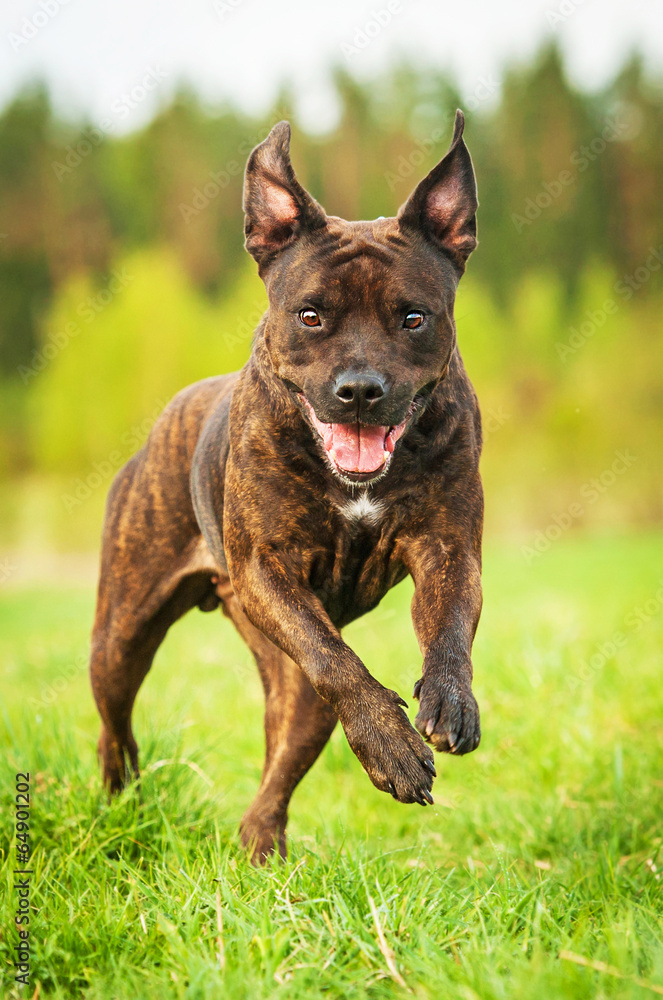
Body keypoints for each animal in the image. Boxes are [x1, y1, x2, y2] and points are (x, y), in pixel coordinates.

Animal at [89, 107, 482, 860]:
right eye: (310, 314)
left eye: (413, 317)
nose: (359, 390)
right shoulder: (268, 569)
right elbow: (338, 661)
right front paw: (391, 745)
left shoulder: (448, 548)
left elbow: (449, 623)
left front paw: (448, 698)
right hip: (120, 637)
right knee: (113, 724)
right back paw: (121, 797)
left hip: (295, 694)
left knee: (279, 767)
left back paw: (260, 851)